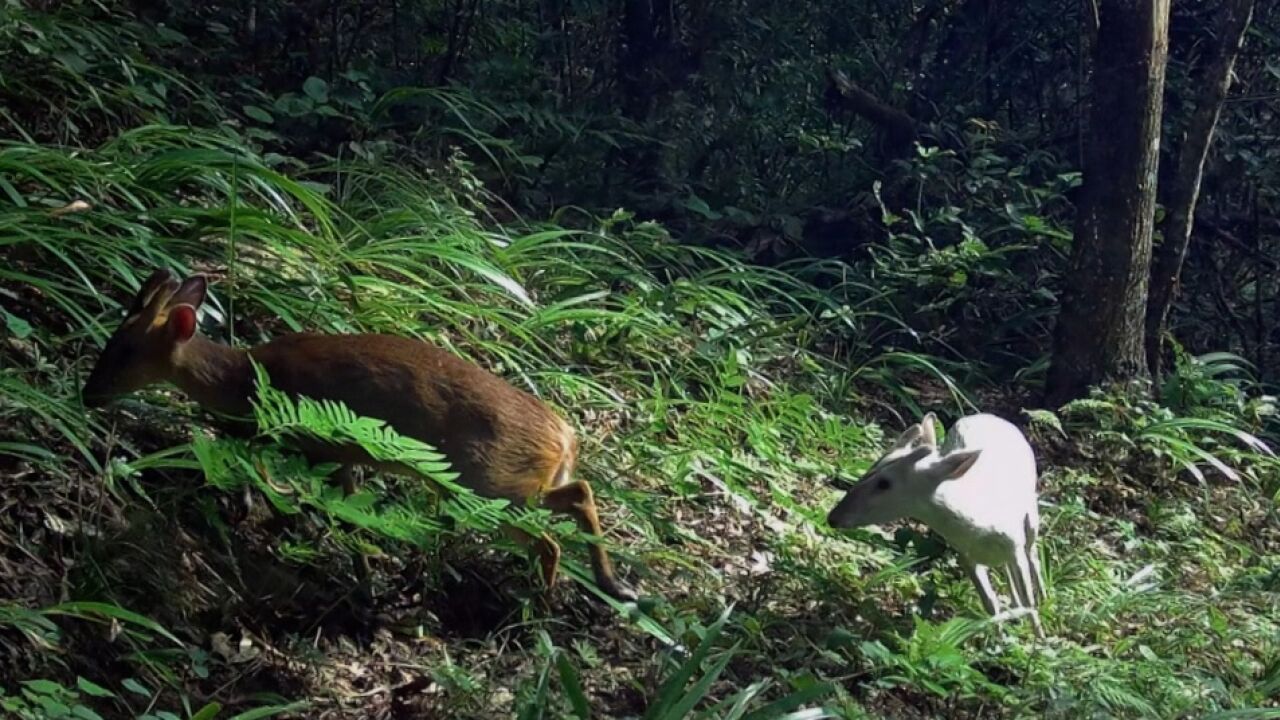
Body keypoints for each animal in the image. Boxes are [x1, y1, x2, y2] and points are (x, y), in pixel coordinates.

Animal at [81, 266, 634, 597]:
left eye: (124, 350)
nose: (87, 394)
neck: (244, 380)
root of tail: (566, 437)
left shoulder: (309, 441)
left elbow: (293, 496)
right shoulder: (343, 453)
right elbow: (347, 512)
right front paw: (364, 576)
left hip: (490, 482)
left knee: (550, 539)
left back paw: (541, 601)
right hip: (506, 483)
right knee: (580, 492)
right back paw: (612, 583)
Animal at [829, 409, 1049, 632]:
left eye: (884, 483)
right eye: (871, 467)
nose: (833, 518)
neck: (979, 525)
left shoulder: (1014, 545)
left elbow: (1029, 601)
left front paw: (1039, 636)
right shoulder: (965, 555)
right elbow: (990, 605)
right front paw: (999, 634)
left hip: (1031, 512)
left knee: (1033, 553)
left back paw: (1044, 597)